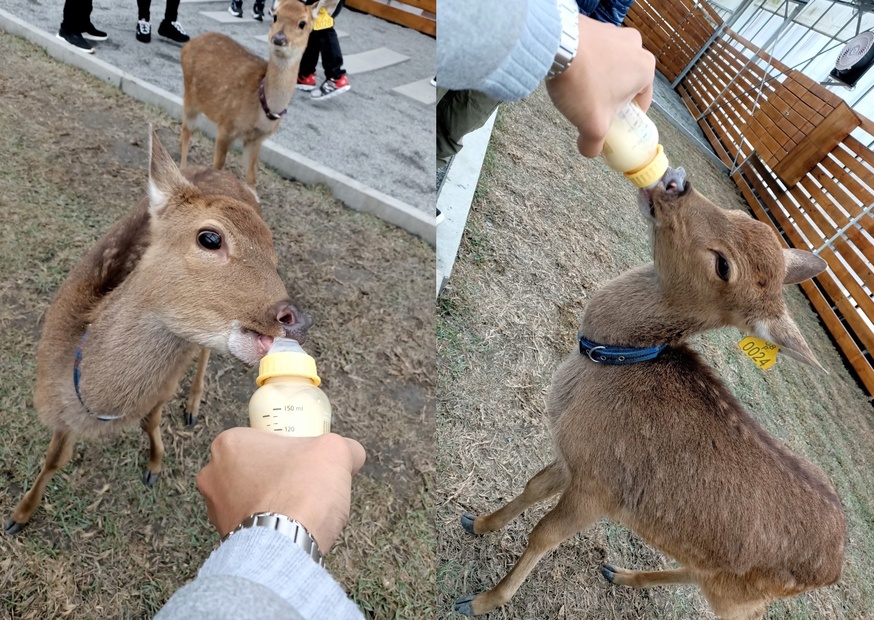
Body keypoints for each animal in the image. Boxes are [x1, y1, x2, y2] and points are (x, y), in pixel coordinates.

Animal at [1, 128, 310, 536]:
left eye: (274, 258)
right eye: (210, 238)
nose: (295, 318)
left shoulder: (164, 384)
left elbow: (151, 421)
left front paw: (154, 467)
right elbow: (55, 457)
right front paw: (18, 516)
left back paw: (192, 406)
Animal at [175, 0, 316, 190]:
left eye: (302, 23)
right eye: (275, 16)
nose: (279, 38)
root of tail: (187, 46)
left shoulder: (256, 139)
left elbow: (251, 177)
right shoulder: (226, 125)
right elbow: (218, 166)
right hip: (190, 95)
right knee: (186, 130)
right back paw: (182, 169)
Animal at [456, 167, 844, 616]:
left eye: (723, 265)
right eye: (741, 215)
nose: (677, 183)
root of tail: (835, 565)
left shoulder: (601, 488)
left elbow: (543, 536)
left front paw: (479, 601)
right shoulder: (574, 458)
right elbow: (532, 485)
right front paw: (476, 522)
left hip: (745, 597)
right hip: (723, 580)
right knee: (693, 573)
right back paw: (619, 573)